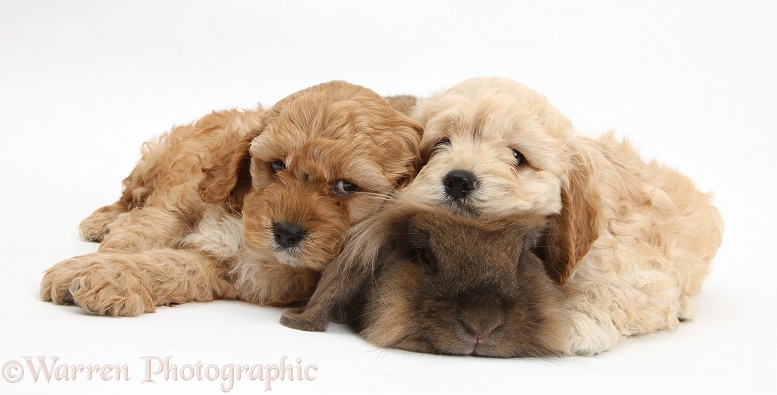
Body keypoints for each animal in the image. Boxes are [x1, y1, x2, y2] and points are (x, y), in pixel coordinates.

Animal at [39, 81, 422, 318]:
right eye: (277, 165)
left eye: (346, 186)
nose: (286, 233)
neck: (243, 211)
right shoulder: (176, 203)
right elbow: (136, 236)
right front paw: (80, 268)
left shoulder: (240, 272)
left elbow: (176, 268)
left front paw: (109, 278)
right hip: (158, 157)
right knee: (131, 195)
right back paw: (102, 220)